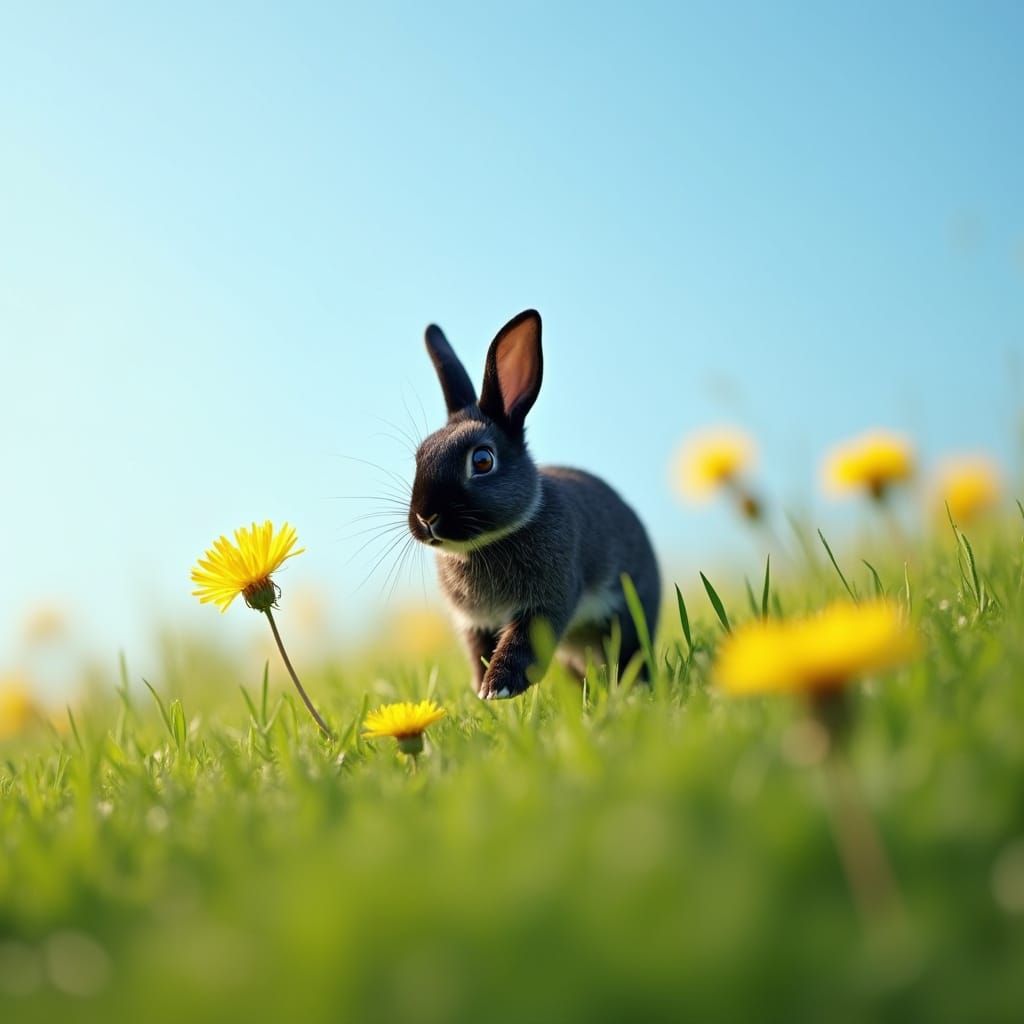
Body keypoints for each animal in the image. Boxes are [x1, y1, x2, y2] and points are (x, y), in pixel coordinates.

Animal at [408, 309, 661, 700]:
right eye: (419, 457)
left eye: (482, 460)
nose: (426, 517)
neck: (485, 545)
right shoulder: (475, 624)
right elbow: (480, 653)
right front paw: (482, 690)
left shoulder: (546, 604)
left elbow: (520, 645)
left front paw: (498, 688)